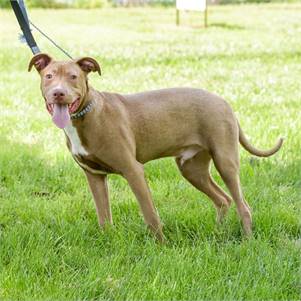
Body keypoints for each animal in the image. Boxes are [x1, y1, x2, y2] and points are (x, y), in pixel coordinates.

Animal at [28, 52, 284, 240]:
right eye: (49, 76)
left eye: (73, 76)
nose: (58, 93)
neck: (86, 115)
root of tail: (224, 102)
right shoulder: (94, 176)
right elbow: (104, 216)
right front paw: (108, 241)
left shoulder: (133, 170)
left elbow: (150, 214)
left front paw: (161, 245)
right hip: (192, 169)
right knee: (223, 199)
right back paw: (217, 232)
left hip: (225, 161)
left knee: (243, 205)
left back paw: (248, 241)